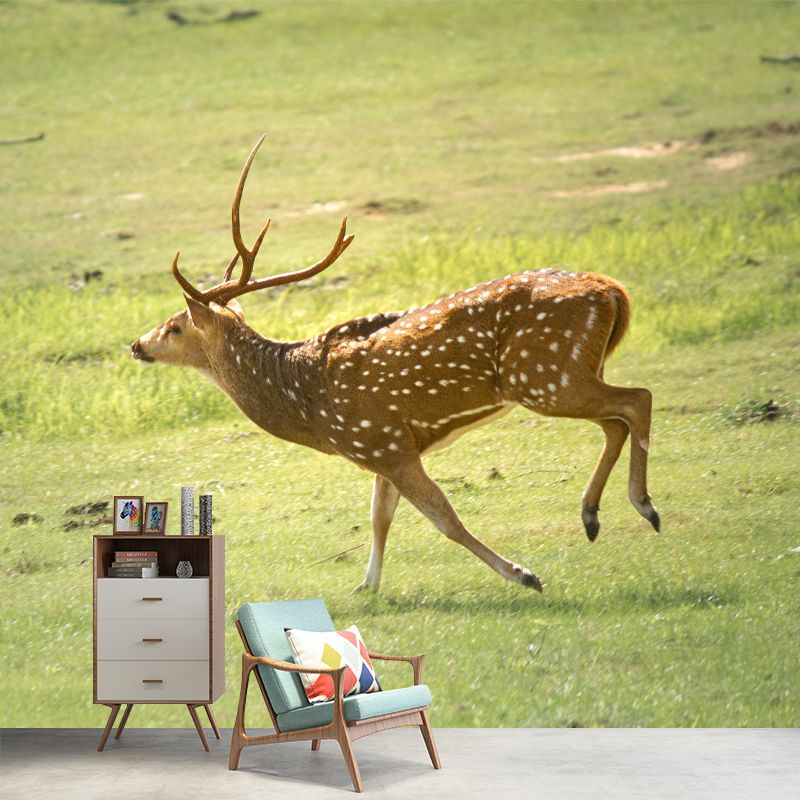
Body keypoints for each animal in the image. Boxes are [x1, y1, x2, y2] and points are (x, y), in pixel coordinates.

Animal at [132, 136, 660, 593]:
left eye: (175, 326)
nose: (137, 344)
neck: (311, 408)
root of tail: (614, 291)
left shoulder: (384, 443)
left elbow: (445, 517)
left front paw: (524, 574)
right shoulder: (380, 447)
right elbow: (380, 516)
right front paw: (366, 586)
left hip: (545, 377)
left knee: (638, 399)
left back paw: (644, 506)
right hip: (571, 374)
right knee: (616, 419)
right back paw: (592, 515)